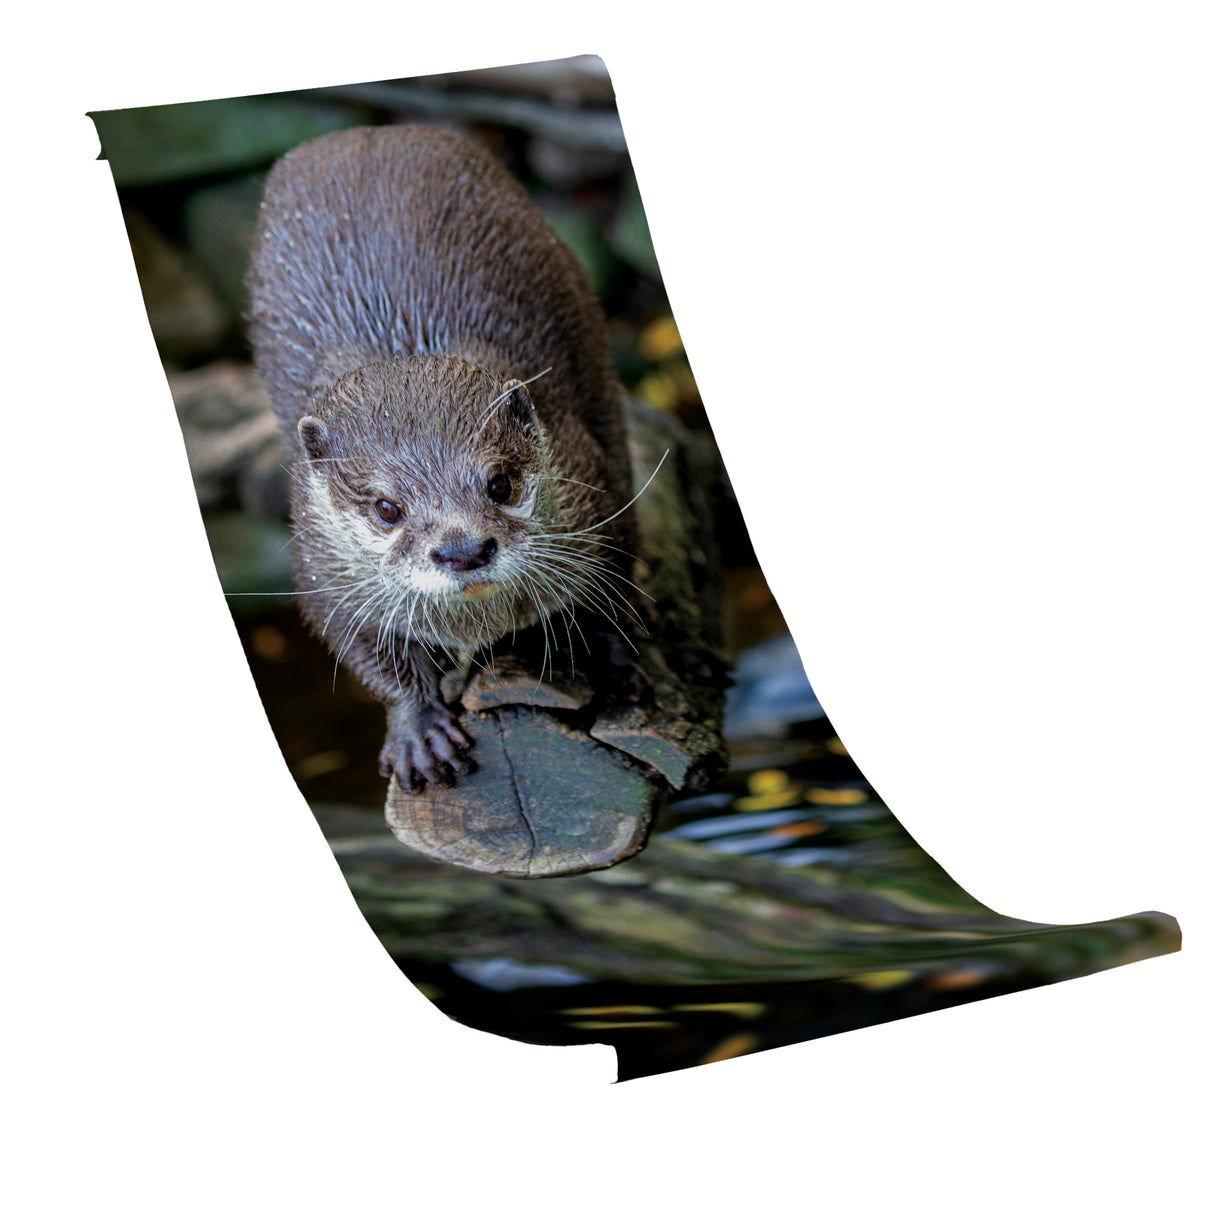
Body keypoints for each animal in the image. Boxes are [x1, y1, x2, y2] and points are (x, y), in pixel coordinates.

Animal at [246, 125, 637, 793]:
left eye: (501, 483)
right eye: (386, 507)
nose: (463, 550)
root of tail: (370, 132)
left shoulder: (593, 482)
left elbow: (619, 576)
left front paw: (609, 661)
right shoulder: (322, 571)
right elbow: (364, 651)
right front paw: (419, 731)